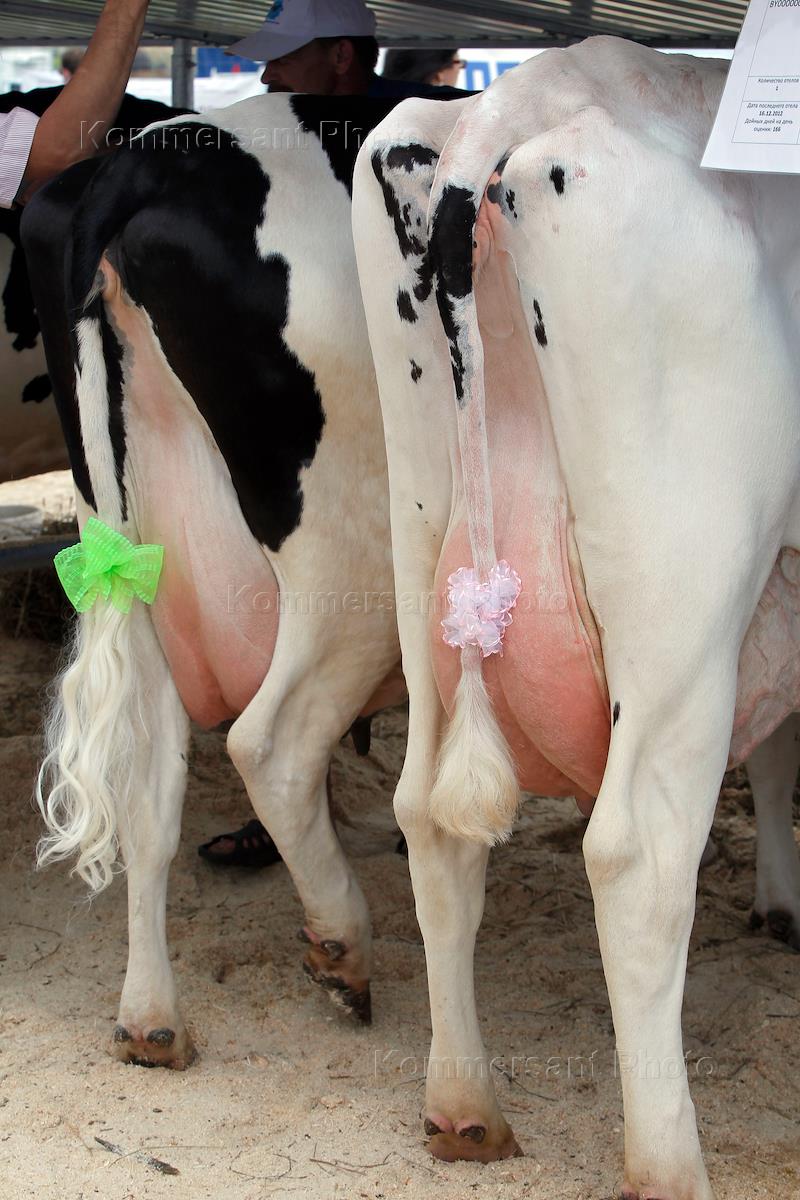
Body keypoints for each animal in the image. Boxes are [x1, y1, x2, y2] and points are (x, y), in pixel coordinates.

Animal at [27, 92, 407, 1068]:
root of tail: (146, 159)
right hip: (354, 570)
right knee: (271, 744)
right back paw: (342, 949)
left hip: (135, 555)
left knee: (147, 778)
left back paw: (151, 1019)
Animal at [353, 36, 800, 1198]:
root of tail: (509, 104)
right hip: (683, 602)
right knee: (638, 860)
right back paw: (669, 1161)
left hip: (420, 542)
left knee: (427, 817)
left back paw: (464, 1108)